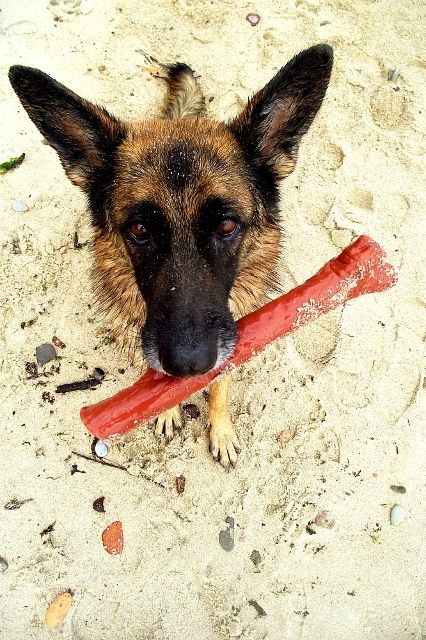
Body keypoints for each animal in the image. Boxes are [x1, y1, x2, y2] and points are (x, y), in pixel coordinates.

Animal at [9, 44, 333, 467]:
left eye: (226, 225)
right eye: (140, 230)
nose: (189, 365)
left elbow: (221, 384)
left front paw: (220, 429)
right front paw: (167, 411)